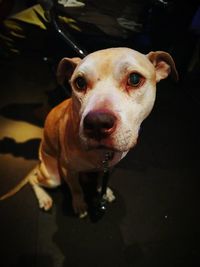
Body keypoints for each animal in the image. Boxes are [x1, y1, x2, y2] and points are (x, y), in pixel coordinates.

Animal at [0, 48, 178, 219]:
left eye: (134, 79)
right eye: (79, 82)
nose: (98, 123)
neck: (102, 154)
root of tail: (39, 163)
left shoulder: (109, 166)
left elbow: (102, 179)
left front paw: (104, 192)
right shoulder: (69, 170)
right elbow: (76, 189)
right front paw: (79, 205)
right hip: (53, 177)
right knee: (33, 179)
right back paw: (44, 198)